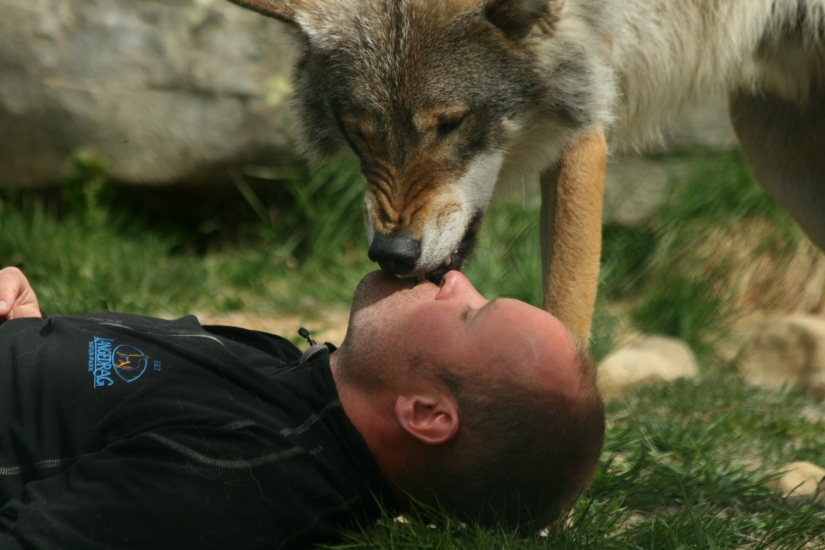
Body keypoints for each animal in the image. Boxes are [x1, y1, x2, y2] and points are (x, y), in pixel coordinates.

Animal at [228, 0, 825, 341]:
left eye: (451, 124)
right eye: (359, 133)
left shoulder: (586, 109)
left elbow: (565, 303)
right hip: (776, 154)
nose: (391, 255)